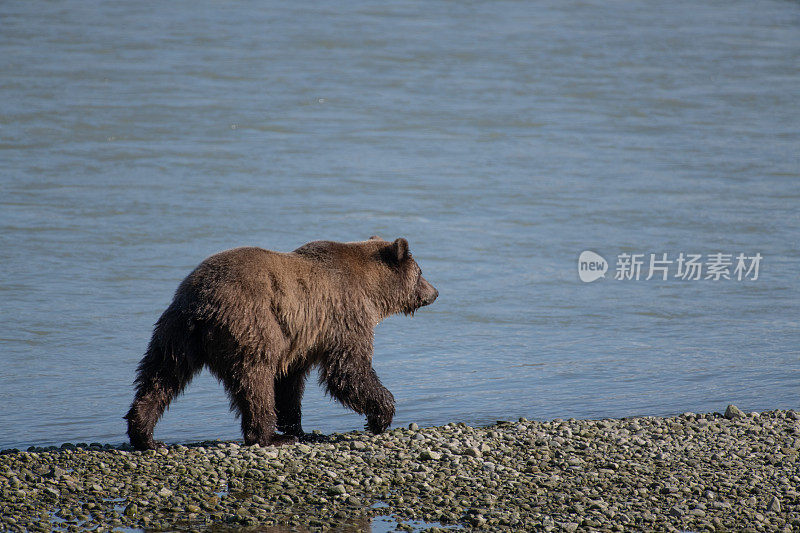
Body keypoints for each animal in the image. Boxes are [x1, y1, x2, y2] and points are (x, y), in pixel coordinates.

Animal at [123, 237, 438, 448]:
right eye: (421, 272)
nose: (434, 292)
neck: (371, 290)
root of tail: (201, 302)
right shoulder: (344, 314)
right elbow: (348, 370)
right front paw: (381, 415)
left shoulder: (302, 337)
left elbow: (289, 381)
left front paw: (297, 427)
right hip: (251, 323)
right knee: (255, 380)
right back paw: (267, 436)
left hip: (175, 331)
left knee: (161, 375)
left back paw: (145, 435)